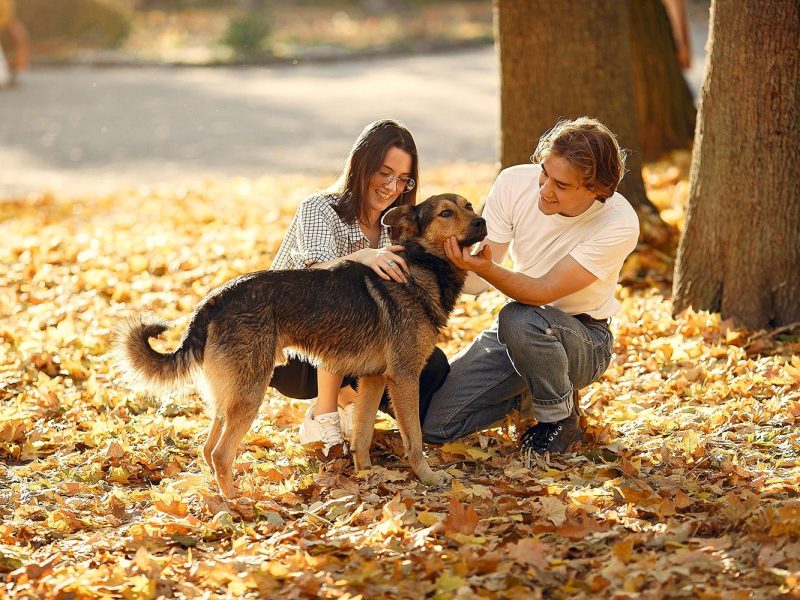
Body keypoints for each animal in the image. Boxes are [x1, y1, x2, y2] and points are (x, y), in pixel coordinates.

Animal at [115, 193, 484, 496]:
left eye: (468, 206)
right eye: (446, 213)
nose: (482, 222)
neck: (421, 264)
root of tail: (214, 299)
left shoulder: (375, 378)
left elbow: (362, 434)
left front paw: (366, 475)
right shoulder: (405, 377)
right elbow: (415, 438)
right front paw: (429, 477)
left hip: (232, 392)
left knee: (209, 447)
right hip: (251, 390)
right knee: (221, 453)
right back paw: (238, 504)